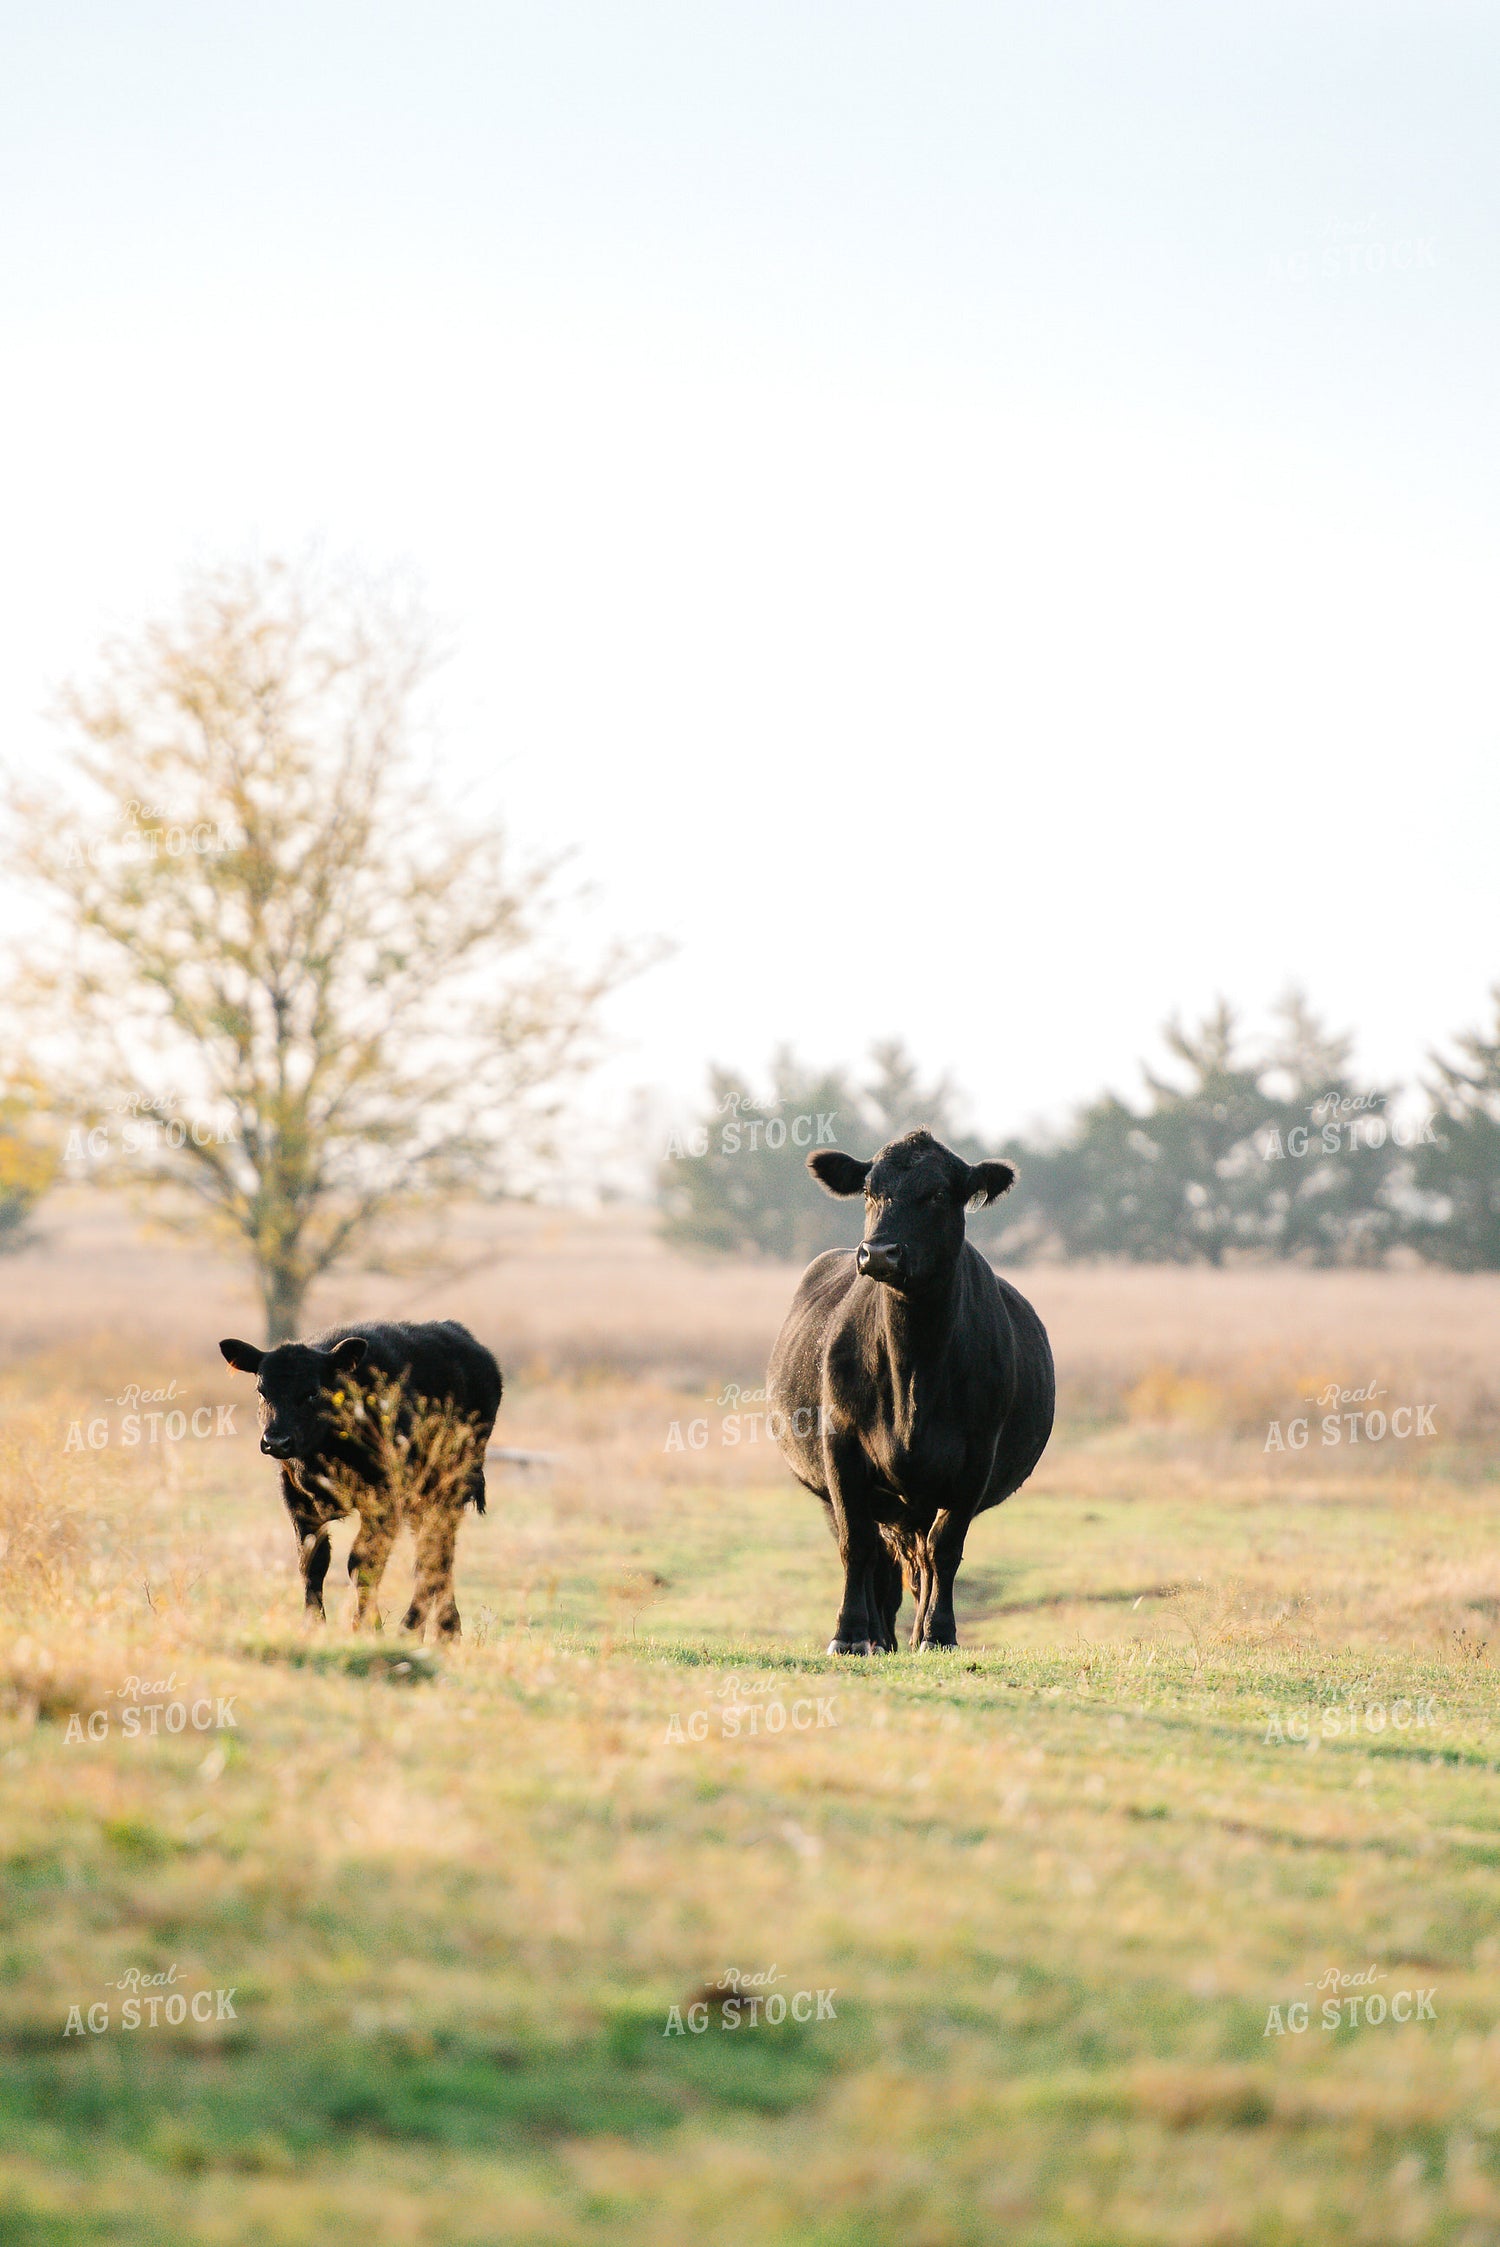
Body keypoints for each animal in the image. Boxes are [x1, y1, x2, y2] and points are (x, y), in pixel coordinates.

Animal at [217, 1319, 502, 1639]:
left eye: (313, 1392)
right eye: (262, 1390)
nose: (276, 1441)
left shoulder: (385, 1500)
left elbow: (362, 1562)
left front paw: (366, 1625)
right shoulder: (296, 1497)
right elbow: (312, 1562)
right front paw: (313, 1625)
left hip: (450, 1489)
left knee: (434, 1553)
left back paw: (416, 1628)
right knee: (435, 1553)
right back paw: (443, 1630)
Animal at [767, 1129, 1054, 1654]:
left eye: (938, 1194)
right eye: (868, 1190)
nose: (879, 1253)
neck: (912, 1377)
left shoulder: (977, 1455)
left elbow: (946, 1548)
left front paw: (939, 1634)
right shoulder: (840, 1445)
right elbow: (856, 1545)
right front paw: (849, 1635)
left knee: (921, 1563)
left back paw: (913, 1630)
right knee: (882, 1560)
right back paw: (878, 1636)